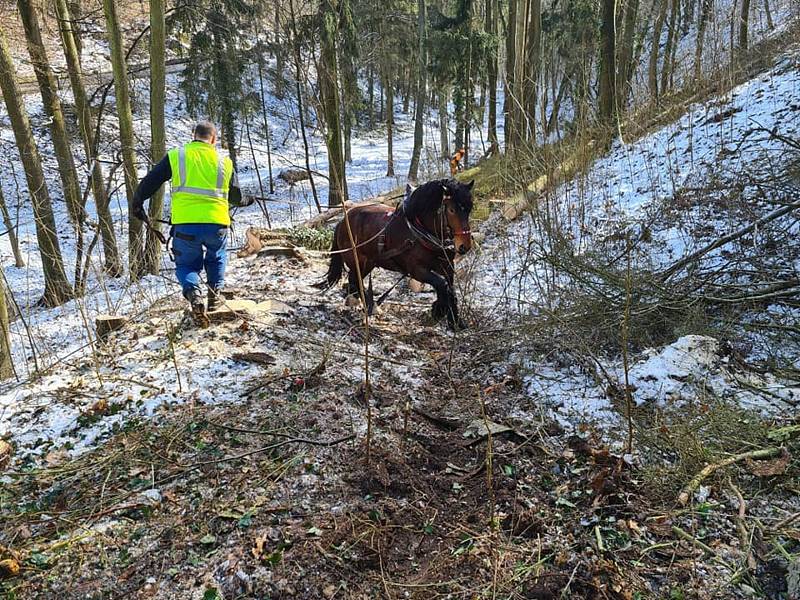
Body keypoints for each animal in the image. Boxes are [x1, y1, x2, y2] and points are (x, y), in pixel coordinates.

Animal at [320, 178, 472, 330]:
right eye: (452, 210)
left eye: (469, 209)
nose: (464, 246)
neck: (420, 231)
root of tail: (342, 221)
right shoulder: (417, 270)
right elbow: (441, 284)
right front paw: (439, 310)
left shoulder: (448, 267)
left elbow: (451, 290)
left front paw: (455, 322)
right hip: (359, 261)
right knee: (355, 279)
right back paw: (366, 304)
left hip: (369, 262)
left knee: (354, 280)